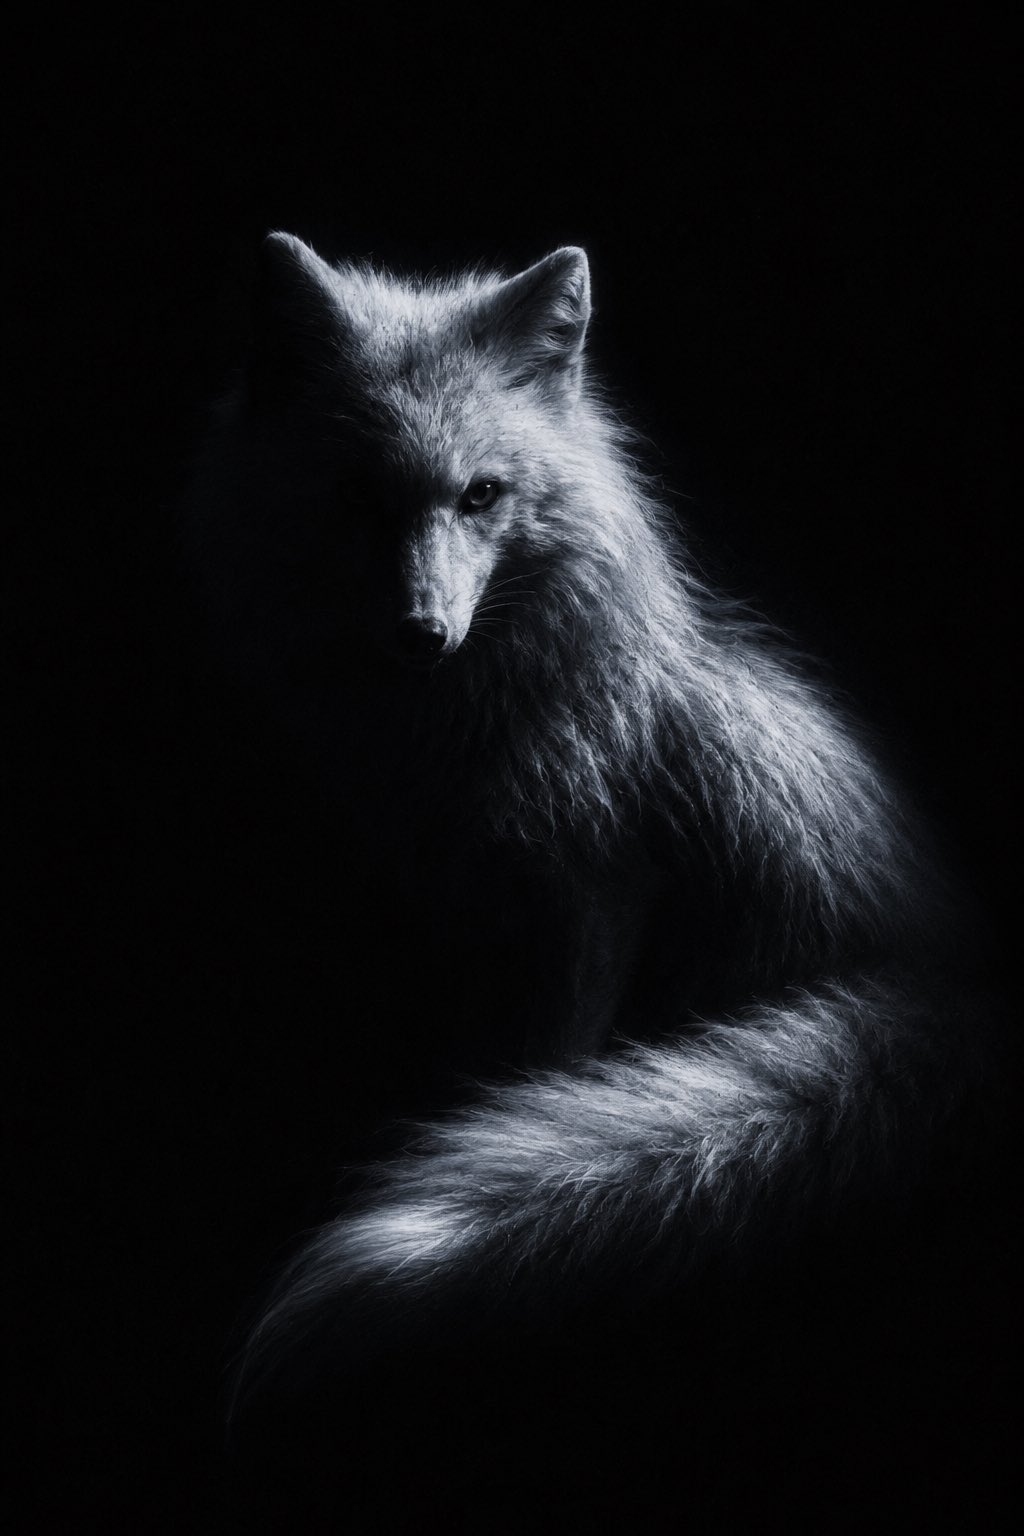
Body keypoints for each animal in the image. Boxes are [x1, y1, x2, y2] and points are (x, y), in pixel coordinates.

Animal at [188, 234, 998, 1513]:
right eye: (359, 497)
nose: (421, 631)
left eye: (480, 495)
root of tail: (958, 992)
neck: (460, 742)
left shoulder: (586, 898)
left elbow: (534, 1070)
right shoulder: (442, 902)